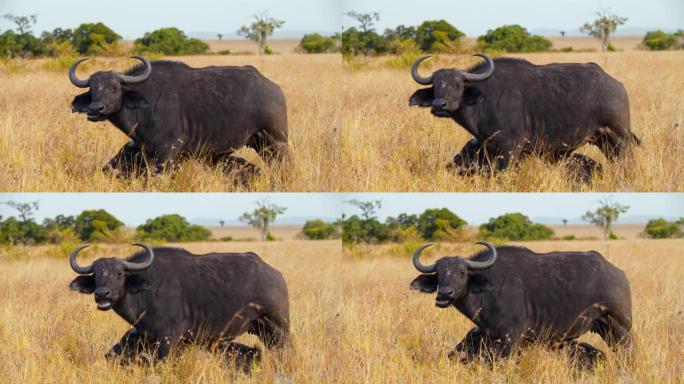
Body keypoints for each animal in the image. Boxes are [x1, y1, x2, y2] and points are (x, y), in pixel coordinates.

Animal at [66, 243, 286, 366]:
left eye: (119, 274)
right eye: (95, 275)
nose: (101, 294)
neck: (147, 291)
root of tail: (274, 274)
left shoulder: (168, 339)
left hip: (278, 329)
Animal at [71, 56, 290, 178]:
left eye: (115, 87)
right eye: (92, 89)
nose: (95, 109)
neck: (146, 103)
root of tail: (273, 88)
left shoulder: (167, 153)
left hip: (276, 142)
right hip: (259, 144)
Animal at [408, 53, 640, 178]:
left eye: (457, 85)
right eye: (435, 86)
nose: (439, 105)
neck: (484, 98)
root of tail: (616, 84)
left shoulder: (510, 149)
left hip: (619, 137)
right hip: (603, 141)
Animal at [408, 243, 632, 366]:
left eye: (462, 272)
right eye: (438, 275)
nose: (444, 294)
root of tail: (617, 273)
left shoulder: (511, 338)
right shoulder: (490, 337)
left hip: (621, 328)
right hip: (603, 328)